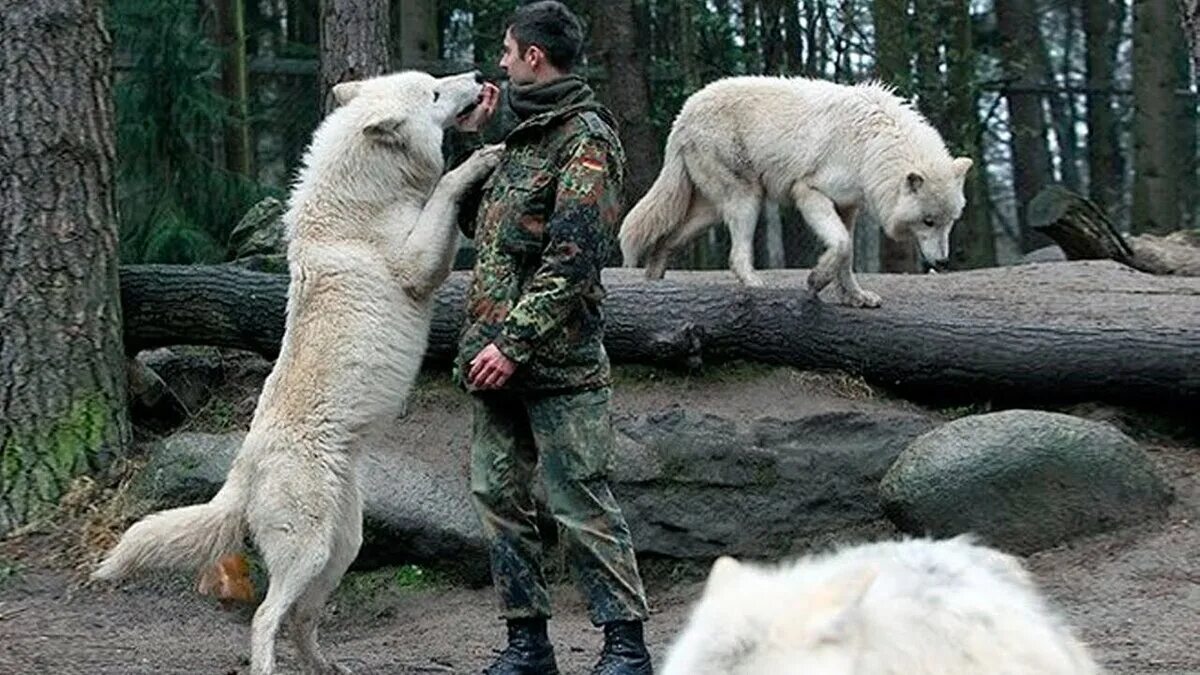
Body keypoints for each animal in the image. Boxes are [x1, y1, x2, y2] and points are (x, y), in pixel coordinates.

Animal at [92, 69, 501, 672]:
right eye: (432, 93)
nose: (475, 76)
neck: (361, 200)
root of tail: (241, 471)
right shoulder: (417, 265)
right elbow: (448, 186)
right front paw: (483, 159)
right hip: (308, 551)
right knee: (266, 618)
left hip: (342, 548)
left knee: (301, 620)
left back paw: (326, 666)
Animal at [619, 75, 974, 305]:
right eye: (927, 221)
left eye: (949, 222)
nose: (943, 262)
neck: (869, 146)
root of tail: (682, 116)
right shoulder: (808, 191)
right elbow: (841, 244)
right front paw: (815, 280)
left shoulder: (848, 206)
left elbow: (847, 254)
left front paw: (855, 296)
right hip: (747, 199)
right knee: (735, 255)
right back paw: (754, 285)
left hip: (711, 211)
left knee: (666, 239)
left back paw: (653, 286)